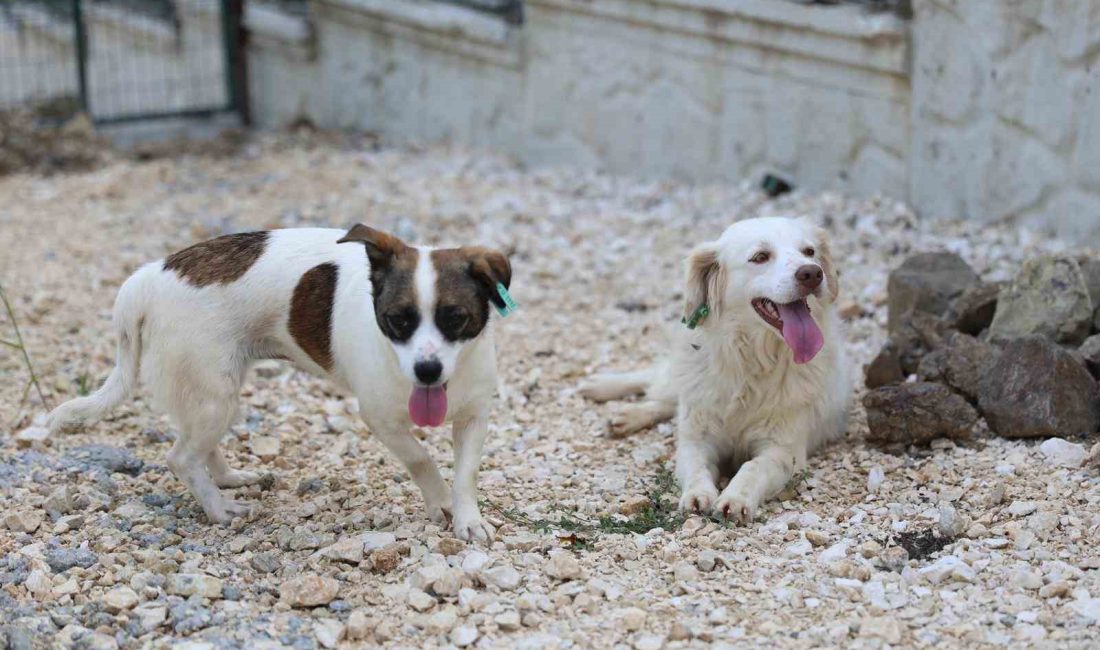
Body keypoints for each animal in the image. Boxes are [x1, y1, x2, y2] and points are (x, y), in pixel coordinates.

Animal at [46, 226, 510, 541]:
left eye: (456, 318)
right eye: (398, 320)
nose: (427, 370)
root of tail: (150, 275)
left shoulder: (475, 417)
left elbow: (466, 473)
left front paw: (468, 518)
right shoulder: (381, 419)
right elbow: (421, 459)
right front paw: (440, 503)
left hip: (212, 393)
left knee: (198, 445)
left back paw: (229, 478)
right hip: (215, 393)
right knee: (180, 458)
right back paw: (219, 509)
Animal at [580, 218, 853, 523]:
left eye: (809, 252)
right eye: (760, 256)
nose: (812, 273)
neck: (751, 363)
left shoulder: (783, 451)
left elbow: (752, 468)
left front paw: (735, 498)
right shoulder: (697, 440)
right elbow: (697, 468)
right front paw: (698, 495)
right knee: (660, 385)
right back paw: (606, 391)